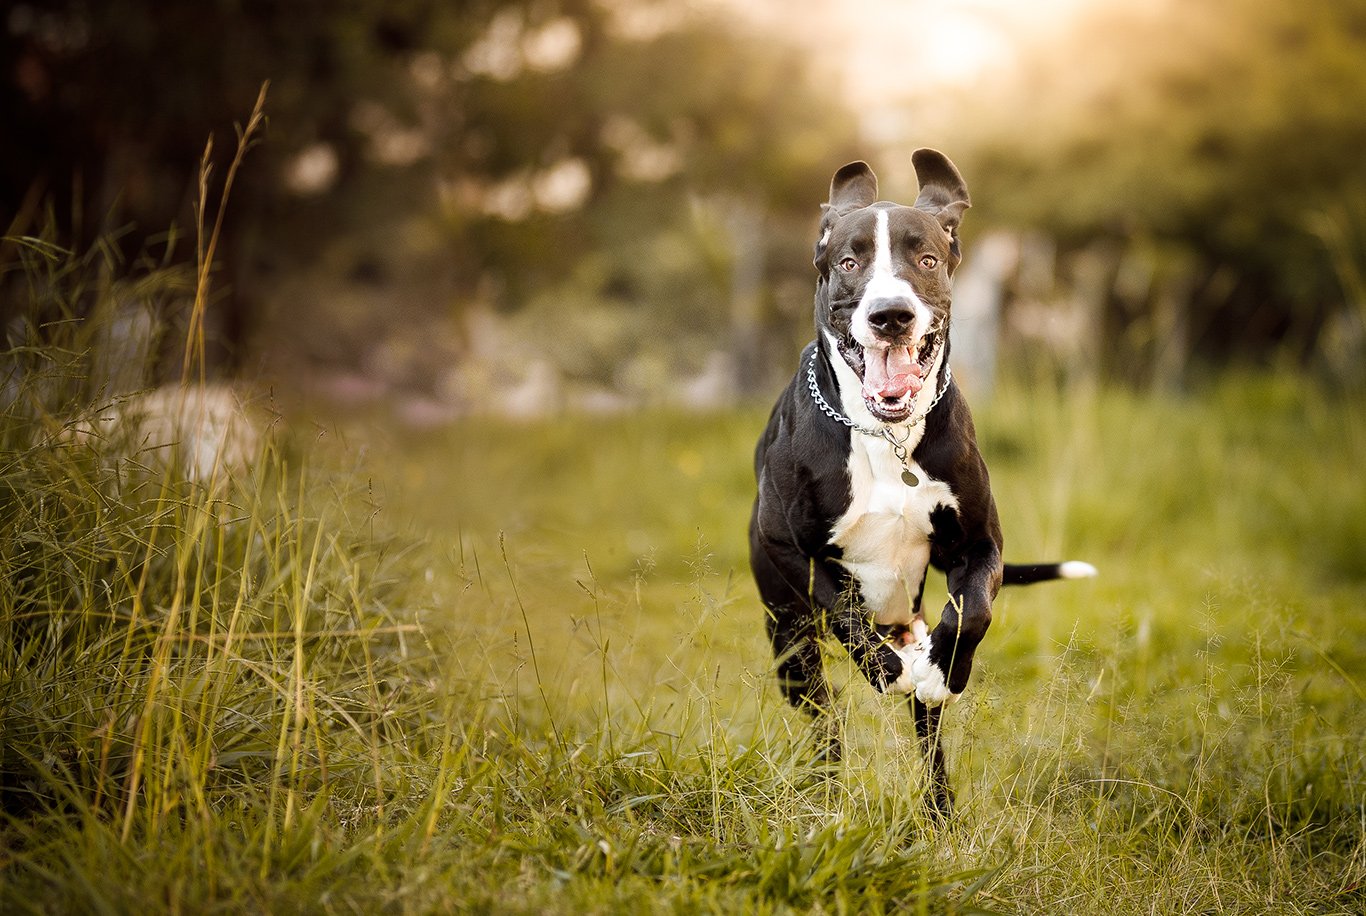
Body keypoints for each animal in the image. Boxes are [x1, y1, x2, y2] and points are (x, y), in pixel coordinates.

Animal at [754, 148, 1092, 819]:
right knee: (824, 721)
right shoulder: (789, 549)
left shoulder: (980, 546)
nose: (892, 315)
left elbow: (972, 612)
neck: (885, 436)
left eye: (927, 260)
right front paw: (886, 670)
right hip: (791, 646)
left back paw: (939, 810)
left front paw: (944, 670)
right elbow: (842, 608)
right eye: (849, 262)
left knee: (928, 735)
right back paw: (826, 787)